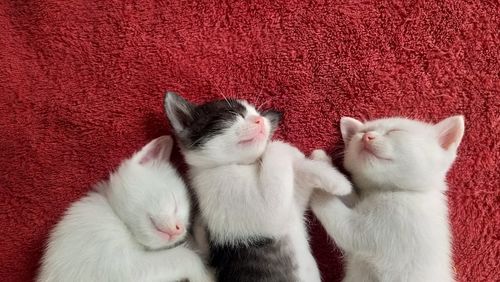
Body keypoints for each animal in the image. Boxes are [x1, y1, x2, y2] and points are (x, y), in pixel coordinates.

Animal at [37, 135, 213, 282]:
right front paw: (204, 276)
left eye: (186, 219)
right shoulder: (114, 266)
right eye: (174, 202)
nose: (179, 229)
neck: (118, 218)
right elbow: (185, 256)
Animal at [165, 93, 352, 282]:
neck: (240, 165)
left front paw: (332, 176)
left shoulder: (292, 205)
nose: (260, 120)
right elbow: (276, 151)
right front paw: (286, 148)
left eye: (258, 113)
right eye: (233, 114)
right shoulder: (260, 210)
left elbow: (299, 178)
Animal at [308, 115, 464, 280]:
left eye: (395, 131)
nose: (366, 136)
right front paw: (323, 163)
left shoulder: (370, 231)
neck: (387, 190)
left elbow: (335, 215)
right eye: (363, 131)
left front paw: (316, 184)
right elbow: (348, 194)